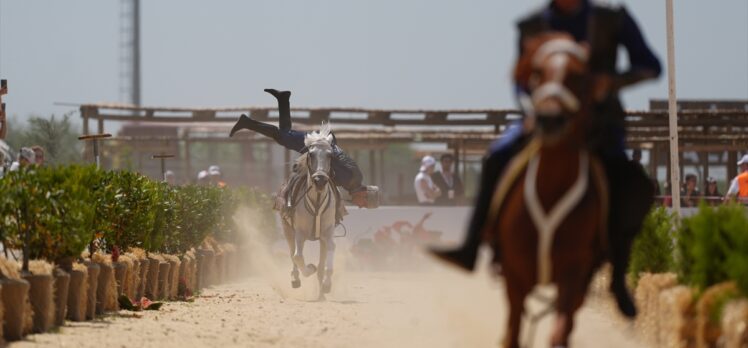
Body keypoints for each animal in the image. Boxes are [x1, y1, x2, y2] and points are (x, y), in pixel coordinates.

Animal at [282, 123, 338, 300]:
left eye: (330, 155)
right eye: (311, 154)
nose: (320, 180)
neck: (317, 202)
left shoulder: (328, 233)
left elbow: (330, 252)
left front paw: (327, 285)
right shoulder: (299, 232)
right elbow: (298, 256)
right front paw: (309, 269)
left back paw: (321, 293)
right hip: (287, 229)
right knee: (292, 253)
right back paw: (295, 278)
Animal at [488, 33, 612, 348]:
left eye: (579, 76)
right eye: (536, 72)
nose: (550, 119)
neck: (550, 189)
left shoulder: (574, 273)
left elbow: (560, 331)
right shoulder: (514, 274)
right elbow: (512, 333)